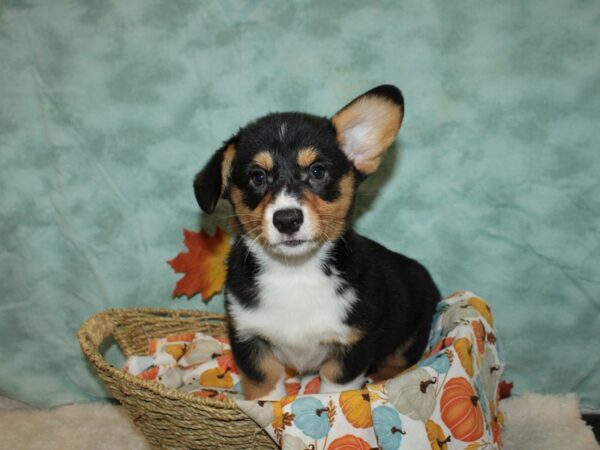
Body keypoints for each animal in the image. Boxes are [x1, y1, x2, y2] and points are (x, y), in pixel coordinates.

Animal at [195, 85, 438, 400]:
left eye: (317, 171)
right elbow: (264, 386)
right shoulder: (249, 338)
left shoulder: (353, 346)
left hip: (411, 335)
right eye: (257, 177)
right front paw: (265, 406)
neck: (295, 272)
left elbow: (334, 387)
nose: (287, 220)